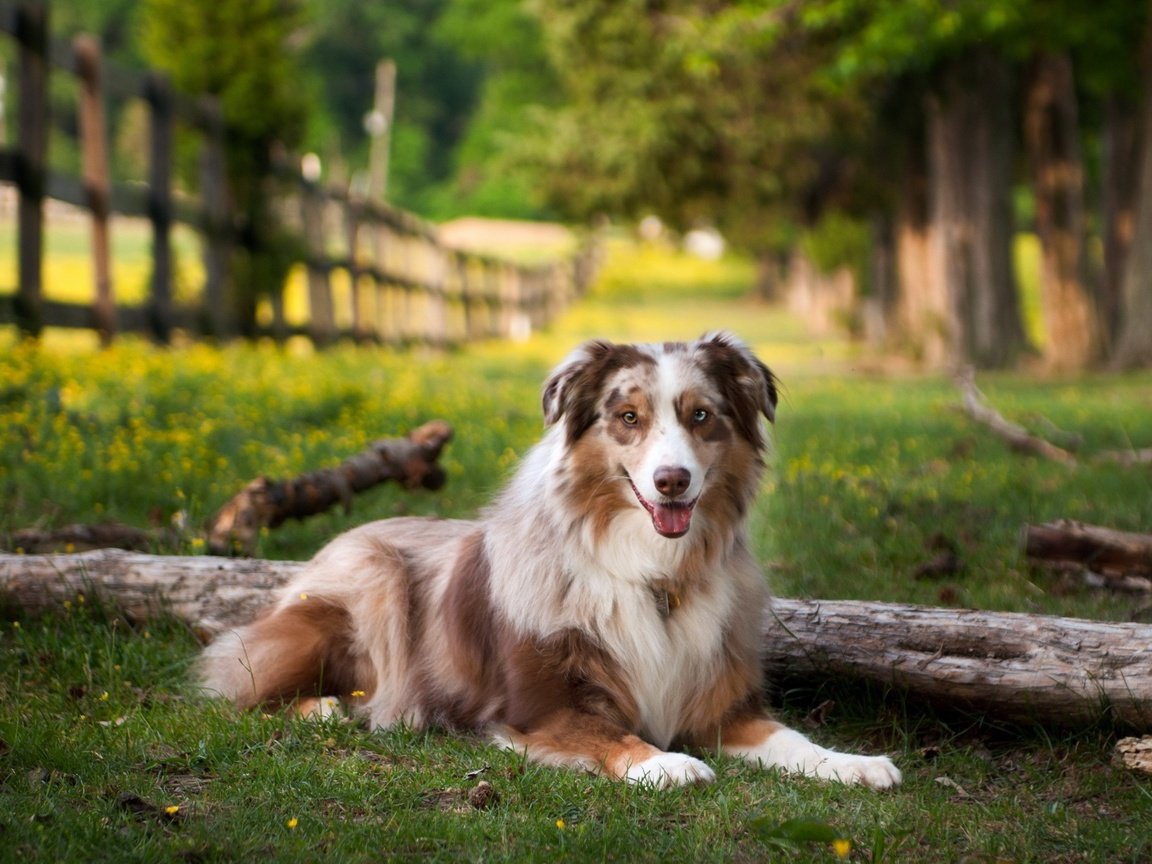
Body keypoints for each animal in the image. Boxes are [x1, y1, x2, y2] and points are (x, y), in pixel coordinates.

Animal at [198, 331, 898, 792]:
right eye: (628, 417)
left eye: (701, 416)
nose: (672, 481)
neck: (652, 574)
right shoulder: (540, 709)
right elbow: (613, 735)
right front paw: (666, 762)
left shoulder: (720, 707)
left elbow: (793, 738)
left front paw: (855, 764)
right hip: (372, 581)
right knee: (235, 684)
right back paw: (324, 708)